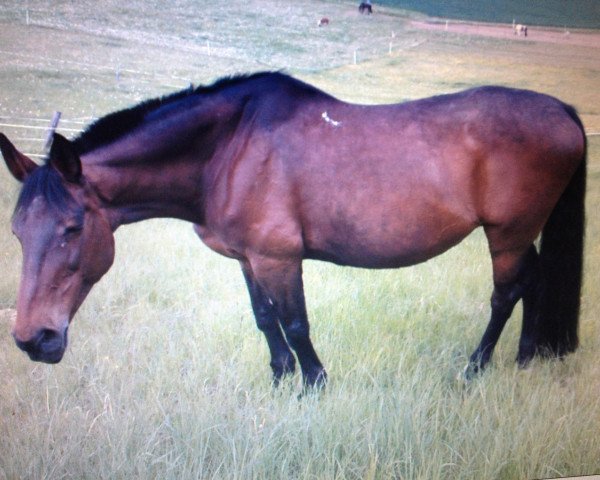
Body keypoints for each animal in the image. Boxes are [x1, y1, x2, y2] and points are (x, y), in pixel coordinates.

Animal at [0, 73, 584, 388]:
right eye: (18, 232)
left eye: (72, 228)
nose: (34, 340)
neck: (228, 148)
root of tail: (562, 110)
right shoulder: (249, 258)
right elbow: (265, 320)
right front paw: (281, 379)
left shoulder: (279, 258)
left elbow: (296, 323)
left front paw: (314, 384)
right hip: (519, 234)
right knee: (534, 283)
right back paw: (526, 360)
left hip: (506, 234)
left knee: (507, 293)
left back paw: (475, 369)